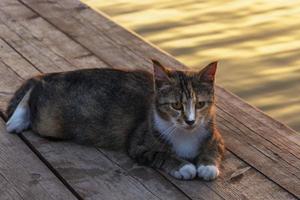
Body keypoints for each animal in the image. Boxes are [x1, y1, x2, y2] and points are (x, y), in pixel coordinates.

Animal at [5, 60, 224, 180]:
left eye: (200, 104)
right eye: (176, 105)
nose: (190, 121)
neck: (185, 135)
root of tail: (53, 75)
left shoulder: (217, 137)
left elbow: (214, 149)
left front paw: (207, 166)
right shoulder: (138, 145)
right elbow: (160, 154)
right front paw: (183, 166)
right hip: (50, 121)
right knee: (35, 88)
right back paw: (17, 120)